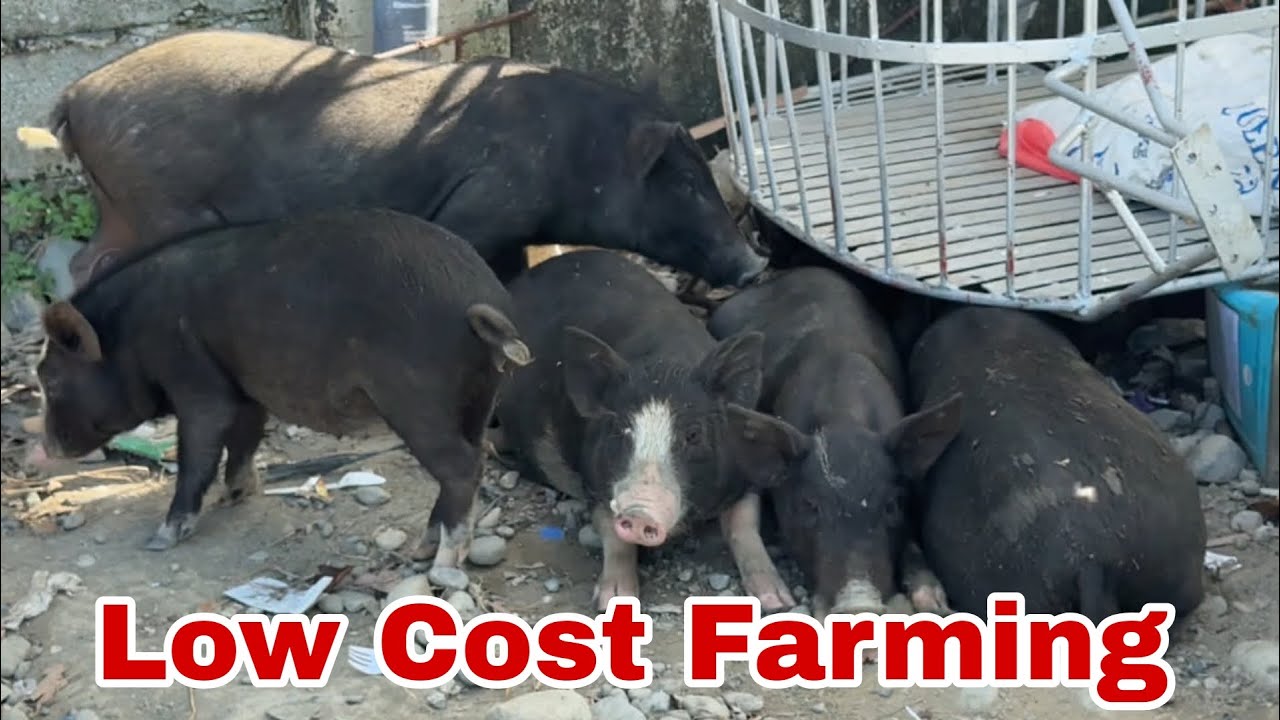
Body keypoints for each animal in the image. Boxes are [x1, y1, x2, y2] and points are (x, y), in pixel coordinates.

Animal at [25, 29, 766, 289]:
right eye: (688, 185)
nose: (756, 263)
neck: (577, 155)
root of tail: (76, 93)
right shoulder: (485, 202)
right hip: (158, 203)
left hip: (123, 206)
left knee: (82, 263)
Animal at [34, 207, 530, 566]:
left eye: (51, 379)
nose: (46, 449)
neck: (129, 334)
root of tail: (481, 303)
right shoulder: (246, 387)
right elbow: (245, 438)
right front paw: (237, 495)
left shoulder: (195, 378)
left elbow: (198, 451)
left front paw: (161, 538)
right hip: (481, 398)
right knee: (469, 459)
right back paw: (422, 548)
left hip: (415, 400)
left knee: (461, 467)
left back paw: (443, 560)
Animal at [494, 249, 795, 611]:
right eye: (621, 429)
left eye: (693, 434)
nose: (639, 511)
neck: (665, 366)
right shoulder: (594, 479)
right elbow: (613, 535)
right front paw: (613, 598)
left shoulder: (747, 469)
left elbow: (745, 528)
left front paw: (778, 600)